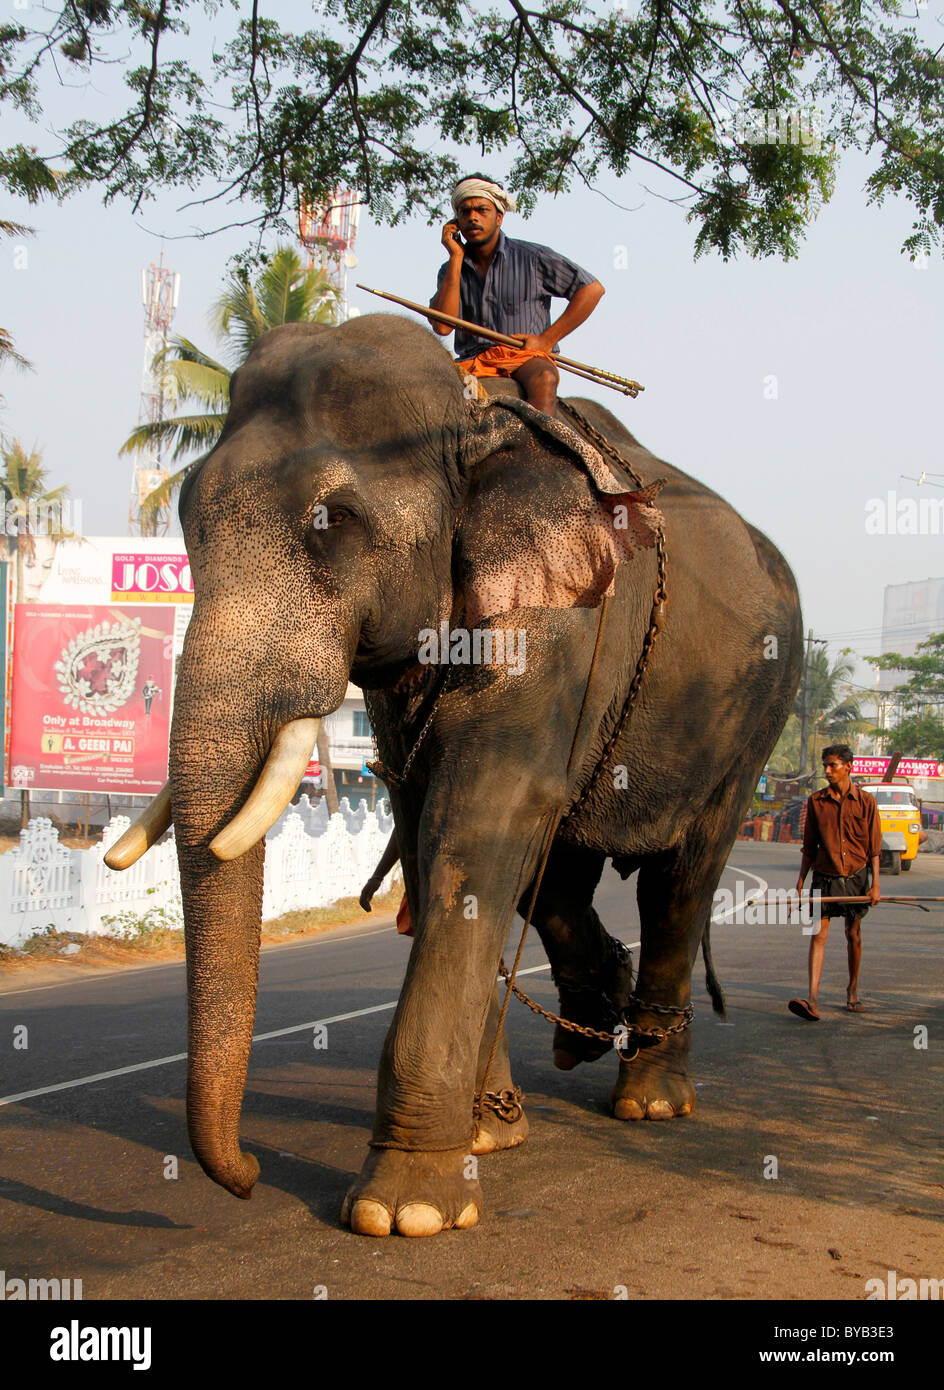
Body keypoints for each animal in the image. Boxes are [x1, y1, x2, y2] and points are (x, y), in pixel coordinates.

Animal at [104, 312, 806, 1239]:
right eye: (184, 517)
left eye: (334, 522)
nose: (248, 1176)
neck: (474, 419)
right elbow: (434, 827)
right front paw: (484, 1134)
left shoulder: (559, 618)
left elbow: (475, 824)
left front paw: (405, 1211)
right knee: (560, 868)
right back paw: (587, 1023)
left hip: (757, 713)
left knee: (680, 881)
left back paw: (649, 1099)